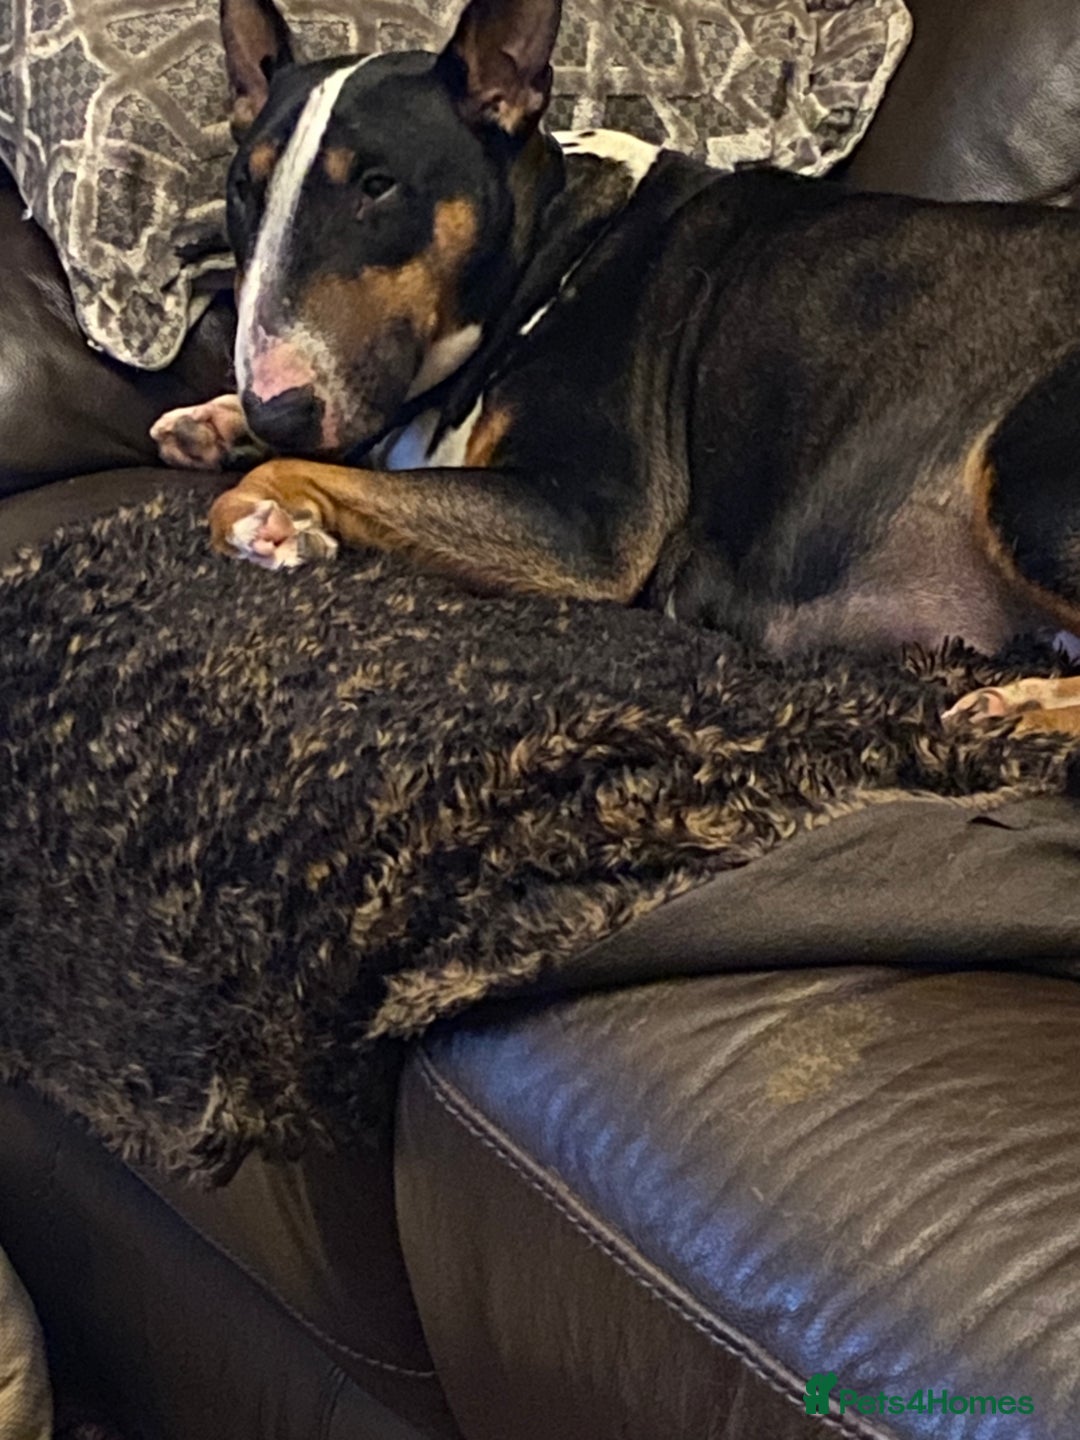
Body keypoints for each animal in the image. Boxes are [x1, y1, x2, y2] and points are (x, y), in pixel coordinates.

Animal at [152, 0, 1080, 732]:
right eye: (244, 188)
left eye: (377, 185)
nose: (275, 407)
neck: (548, 255)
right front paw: (211, 426)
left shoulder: (593, 521)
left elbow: (298, 475)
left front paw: (265, 516)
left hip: (1025, 478)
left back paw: (1020, 708)